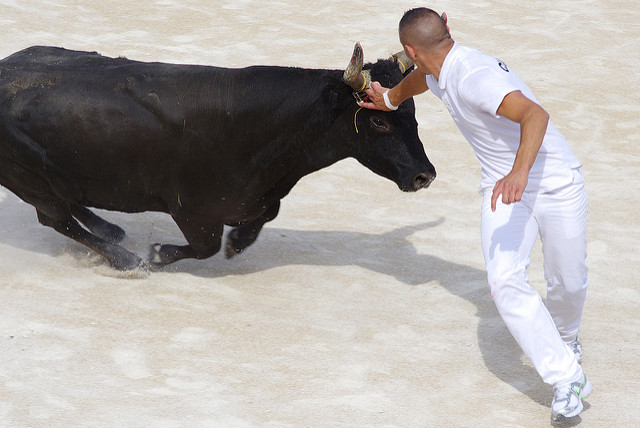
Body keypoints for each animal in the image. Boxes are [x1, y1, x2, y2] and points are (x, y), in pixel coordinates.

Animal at [0, 44, 436, 270]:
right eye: (378, 122)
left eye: (413, 110)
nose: (424, 175)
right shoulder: (192, 211)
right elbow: (206, 246)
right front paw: (156, 254)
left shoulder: (257, 198)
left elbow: (262, 217)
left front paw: (238, 242)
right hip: (28, 178)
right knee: (56, 218)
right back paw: (125, 259)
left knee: (72, 206)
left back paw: (112, 230)